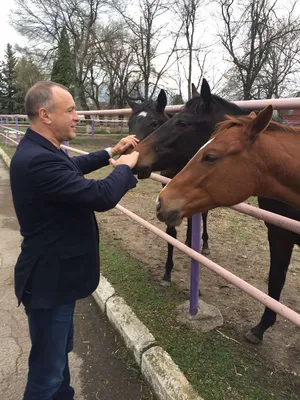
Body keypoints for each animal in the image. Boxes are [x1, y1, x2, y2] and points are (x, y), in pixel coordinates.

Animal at [127, 91, 210, 290]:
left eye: (155, 123)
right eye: (129, 123)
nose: (132, 157)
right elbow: (170, 232)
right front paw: (167, 272)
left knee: (203, 215)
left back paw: (203, 244)